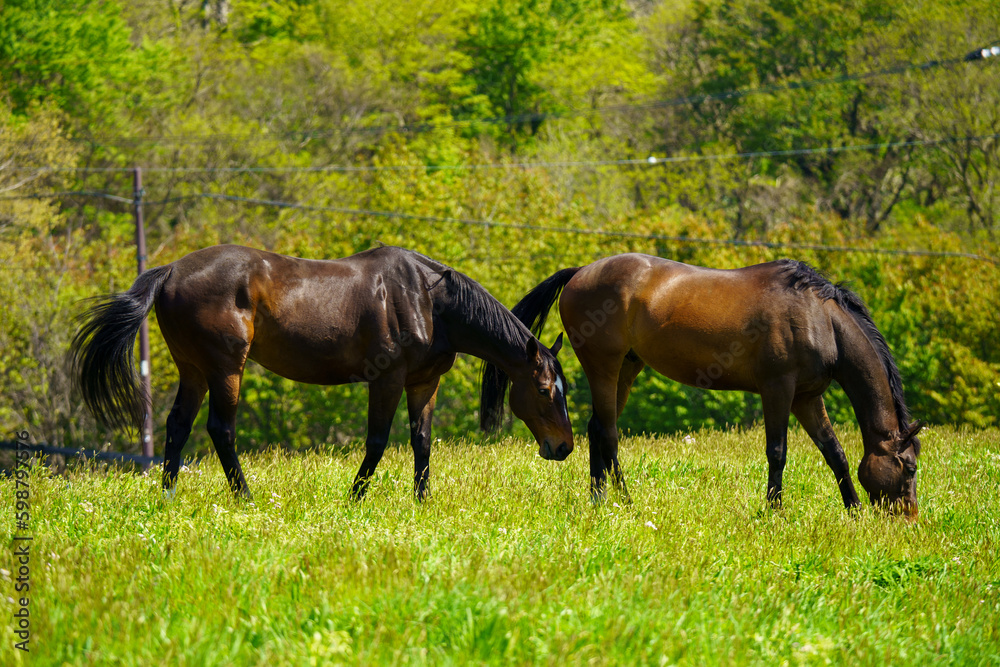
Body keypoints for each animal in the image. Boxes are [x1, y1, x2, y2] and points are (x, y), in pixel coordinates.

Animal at [74, 245, 576, 500]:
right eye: (545, 389)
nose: (565, 448)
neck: (428, 298)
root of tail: (172, 270)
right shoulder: (387, 379)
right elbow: (378, 442)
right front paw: (355, 497)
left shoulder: (424, 382)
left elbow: (422, 441)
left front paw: (423, 500)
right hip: (225, 368)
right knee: (221, 428)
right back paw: (245, 497)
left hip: (194, 369)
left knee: (178, 425)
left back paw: (167, 496)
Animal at [482, 253, 920, 520]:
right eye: (910, 466)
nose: (910, 518)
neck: (818, 317)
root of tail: (579, 273)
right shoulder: (778, 390)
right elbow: (777, 452)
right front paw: (774, 511)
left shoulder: (807, 398)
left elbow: (835, 453)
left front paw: (854, 510)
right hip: (604, 366)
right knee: (607, 432)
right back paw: (625, 499)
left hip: (627, 368)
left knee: (596, 428)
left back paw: (599, 499)